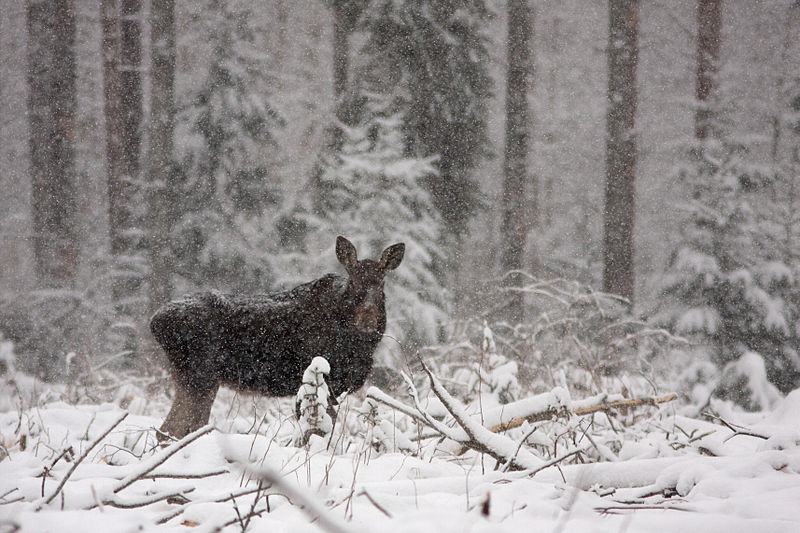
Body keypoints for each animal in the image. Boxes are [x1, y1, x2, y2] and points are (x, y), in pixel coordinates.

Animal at [149, 236, 404, 436]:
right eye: (354, 281)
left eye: (381, 284)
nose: (368, 320)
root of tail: (155, 321)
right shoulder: (317, 380)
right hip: (199, 376)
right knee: (174, 429)